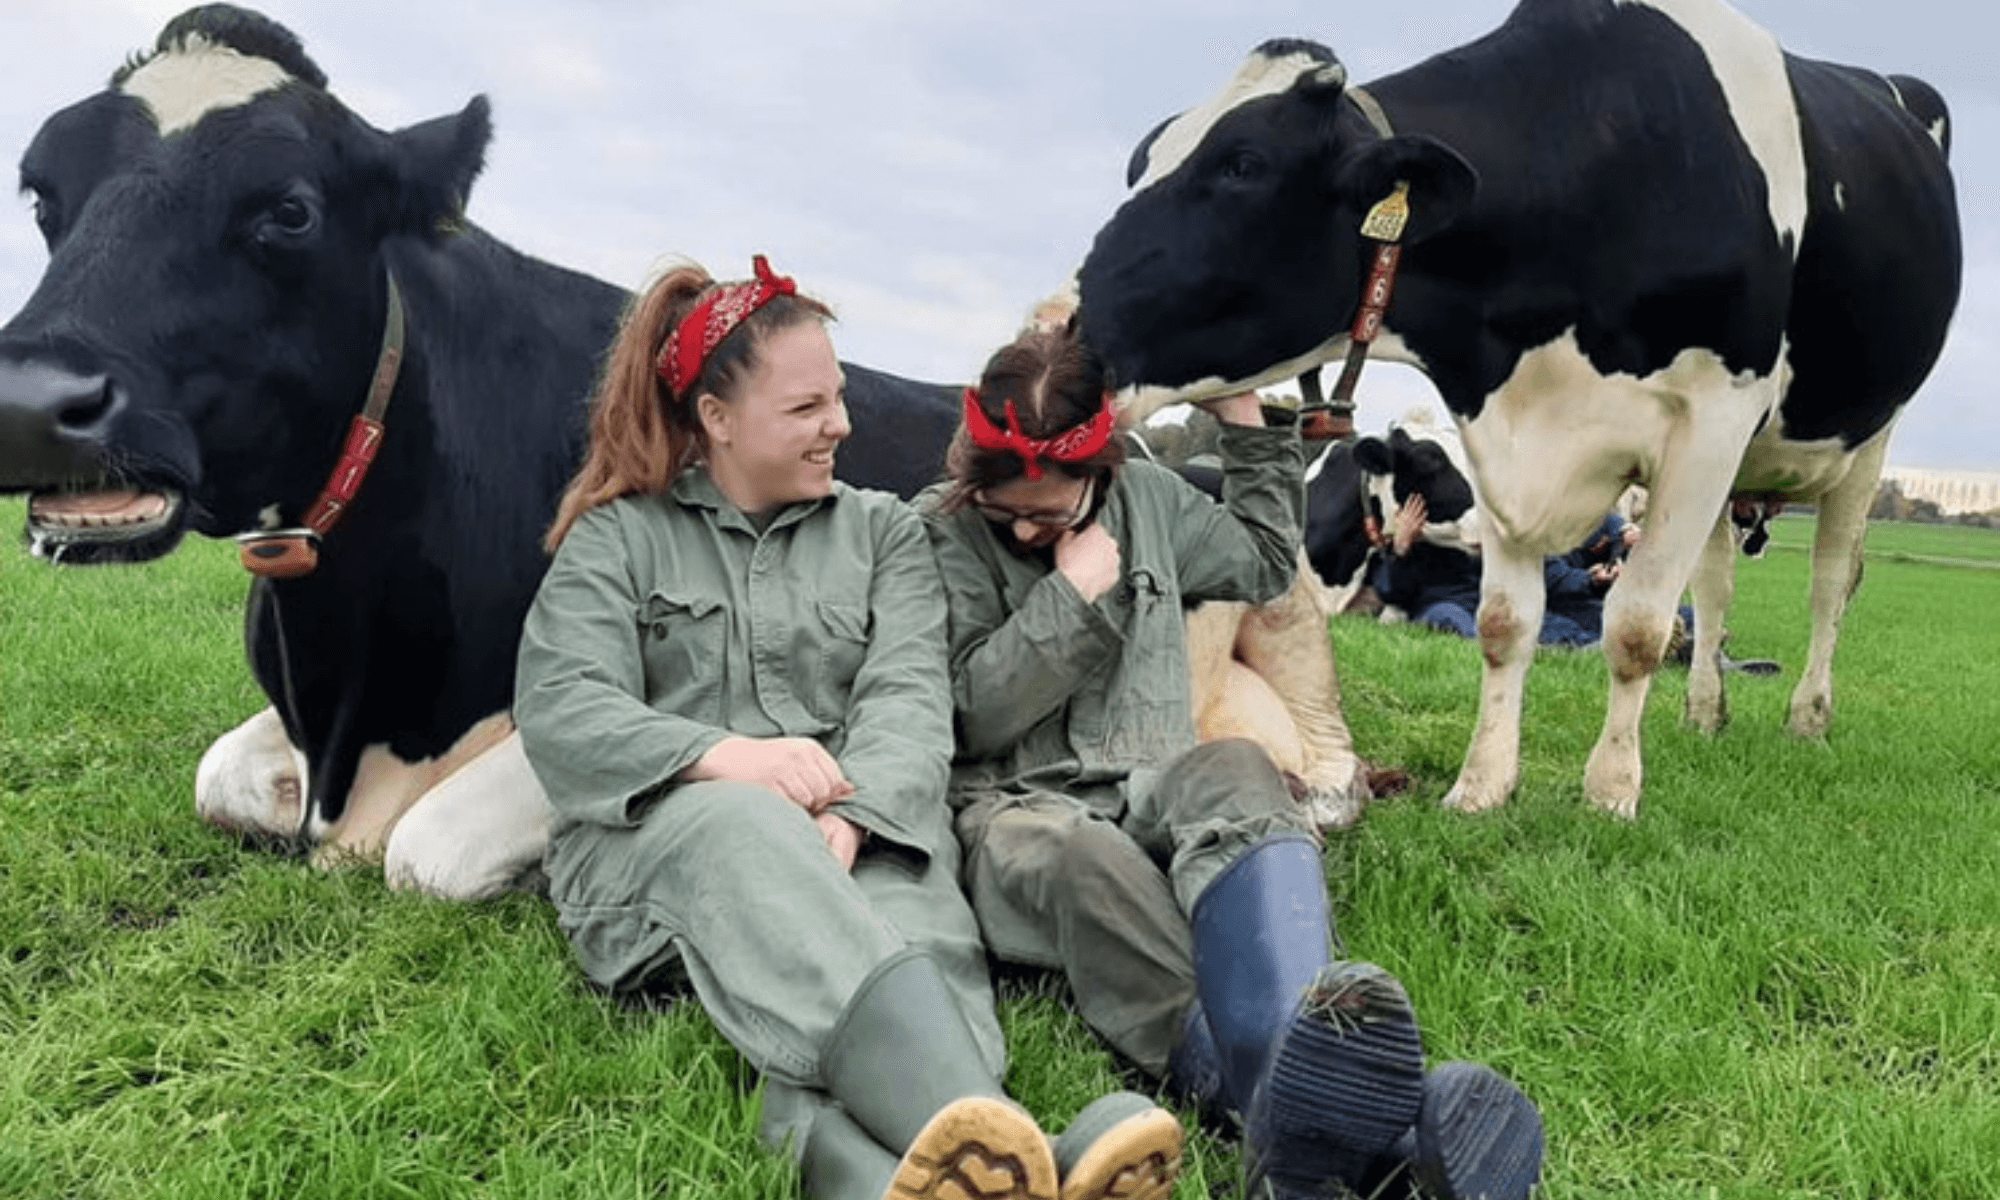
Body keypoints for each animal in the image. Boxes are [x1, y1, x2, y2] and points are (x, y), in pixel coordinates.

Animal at [0, 4, 960, 896]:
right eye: (43, 197)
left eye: (290, 210)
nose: (32, 402)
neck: (352, 713)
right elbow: (221, 773)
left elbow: (428, 847)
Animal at [1072, 0, 1960, 816]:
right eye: (1144, 165)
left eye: (1243, 164)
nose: (1069, 336)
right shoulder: (1496, 426)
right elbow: (1503, 623)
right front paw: (1481, 787)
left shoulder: (1709, 419)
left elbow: (1637, 626)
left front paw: (1610, 793)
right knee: (1714, 590)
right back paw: (1704, 712)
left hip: (1863, 441)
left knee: (1828, 584)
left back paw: (1808, 717)